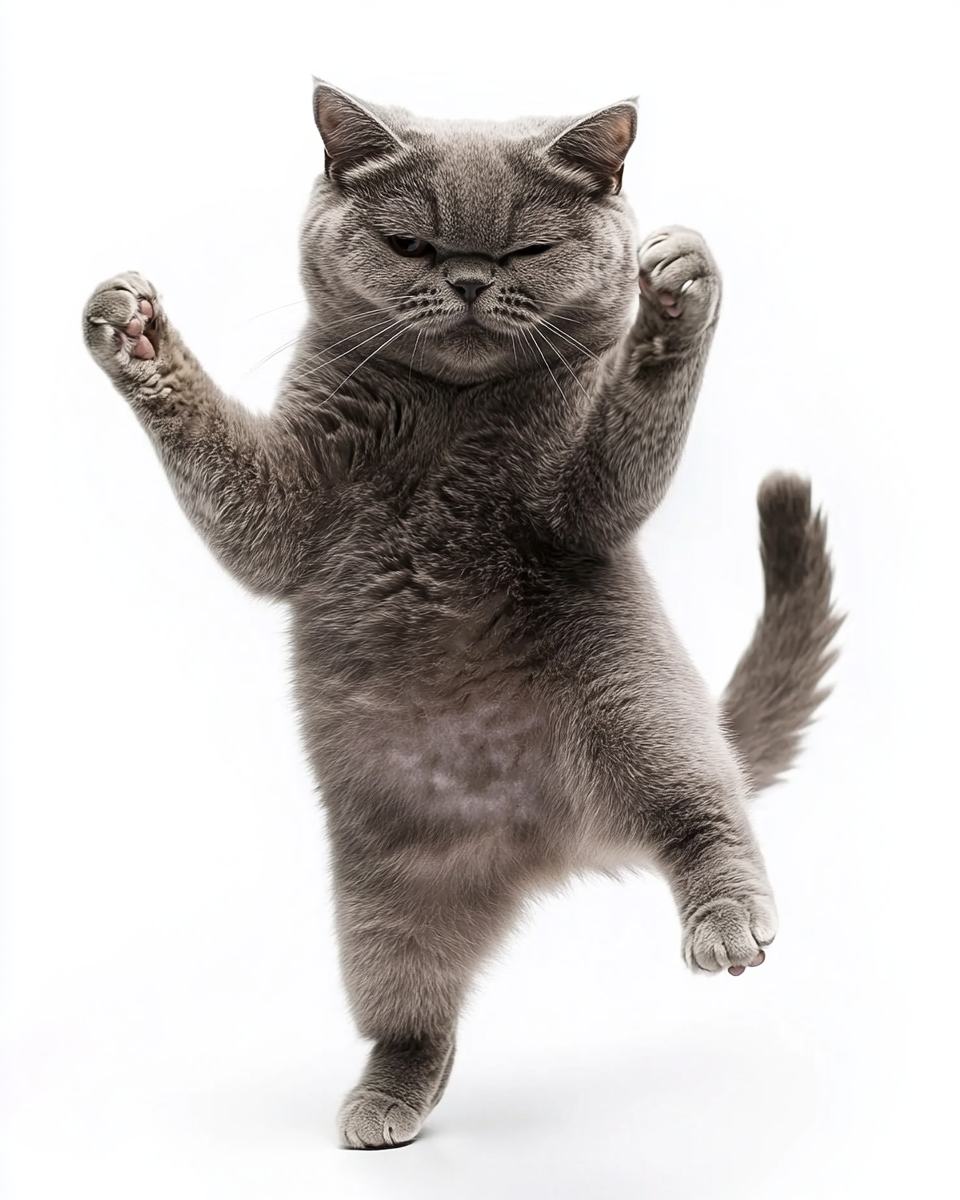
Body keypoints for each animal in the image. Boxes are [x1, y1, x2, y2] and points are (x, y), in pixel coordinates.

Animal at [82, 79, 840, 1147]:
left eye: (527, 249)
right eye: (411, 245)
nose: (474, 279)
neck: (450, 412)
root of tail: (552, 841)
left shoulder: (576, 505)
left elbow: (616, 462)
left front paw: (676, 297)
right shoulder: (289, 504)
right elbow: (241, 503)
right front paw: (134, 331)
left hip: (641, 712)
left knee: (707, 816)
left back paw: (726, 923)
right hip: (379, 907)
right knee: (417, 1018)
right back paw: (383, 1103)